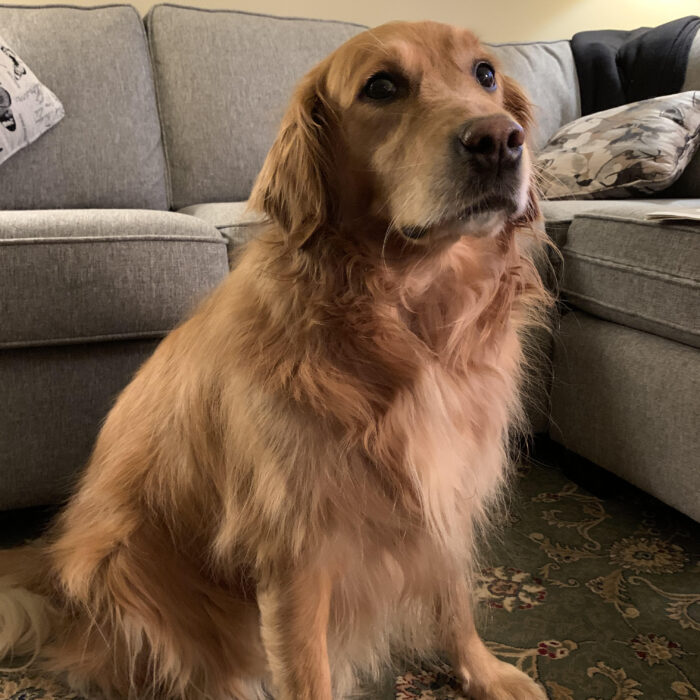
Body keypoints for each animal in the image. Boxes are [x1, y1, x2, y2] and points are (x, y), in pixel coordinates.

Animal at [0, 20, 552, 700]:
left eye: (485, 74)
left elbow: (454, 600)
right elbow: (308, 673)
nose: (499, 140)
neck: (411, 320)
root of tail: (50, 562)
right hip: (125, 567)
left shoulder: (444, 492)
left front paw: (483, 671)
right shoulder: (295, 556)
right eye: (382, 86)